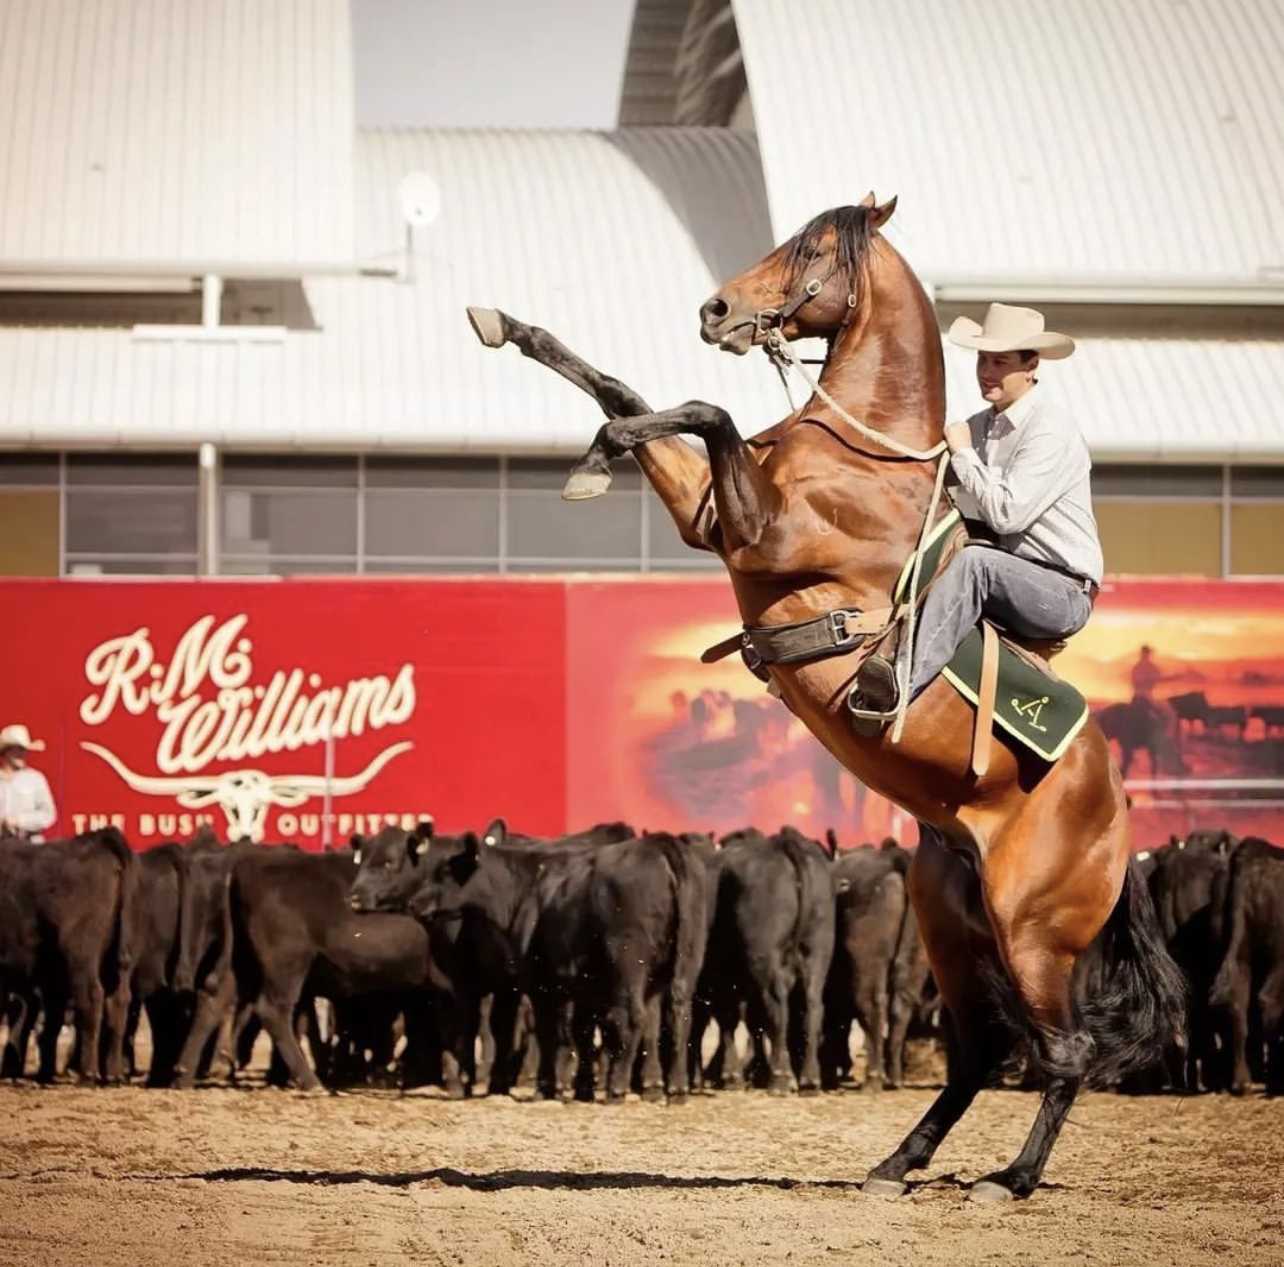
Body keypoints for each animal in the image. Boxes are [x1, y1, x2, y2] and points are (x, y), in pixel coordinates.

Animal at [698, 826, 837, 1093]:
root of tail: (783, 844)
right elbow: (751, 1021)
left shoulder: (720, 976)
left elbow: (729, 1018)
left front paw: (730, 1074)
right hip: (817, 952)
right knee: (813, 1006)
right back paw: (809, 1078)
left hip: (763, 961)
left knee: (777, 1007)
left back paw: (781, 1077)